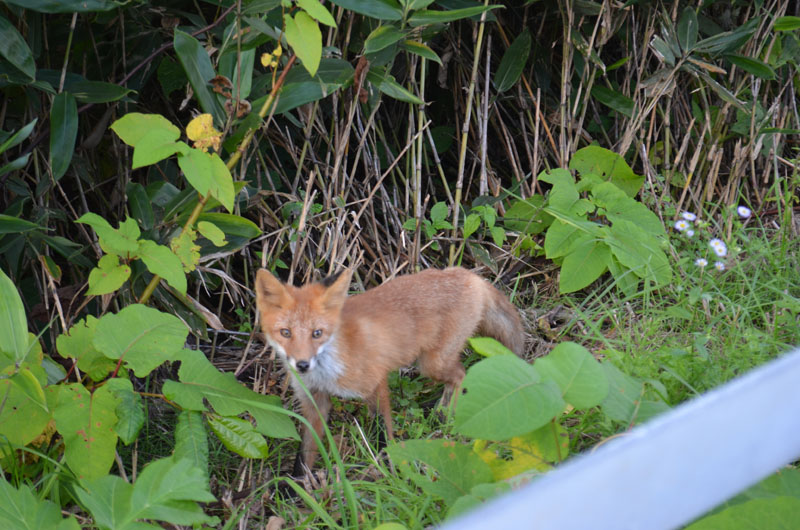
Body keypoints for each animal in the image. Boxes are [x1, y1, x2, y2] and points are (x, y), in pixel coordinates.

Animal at [254, 266, 524, 474]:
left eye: (316, 333)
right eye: (285, 333)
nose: (302, 365)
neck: (326, 371)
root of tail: (469, 274)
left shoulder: (375, 383)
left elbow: (382, 431)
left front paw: (387, 466)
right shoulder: (313, 401)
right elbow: (306, 450)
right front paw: (297, 486)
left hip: (431, 364)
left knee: (460, 375)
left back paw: (446, 416)